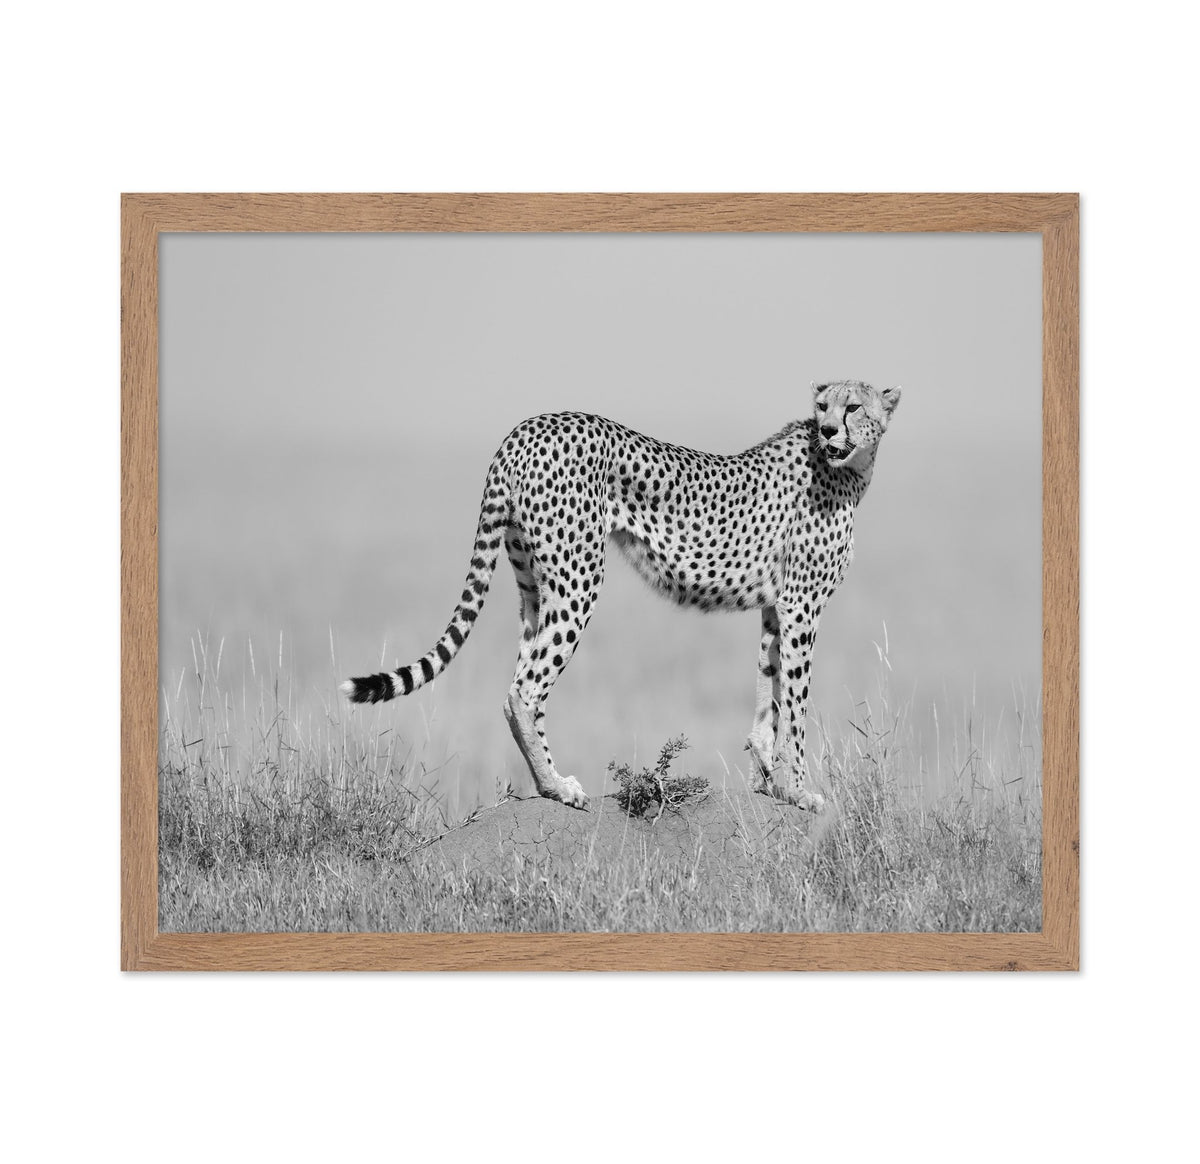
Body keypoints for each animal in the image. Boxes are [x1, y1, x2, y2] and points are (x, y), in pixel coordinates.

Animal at [342, 378, 901, 811]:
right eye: (823, 407)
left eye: (853, 407)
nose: (828, 430)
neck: (849, 468)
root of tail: (527, 427)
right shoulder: (801, 606)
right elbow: (797, 702)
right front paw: (800, 790)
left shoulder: (774, 606)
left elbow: (770, 690)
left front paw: (770, 779)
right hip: (579, 578)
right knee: (525, 689)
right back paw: (557, 787)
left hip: (534, 585)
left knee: (519, 683)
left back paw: (547, 783)